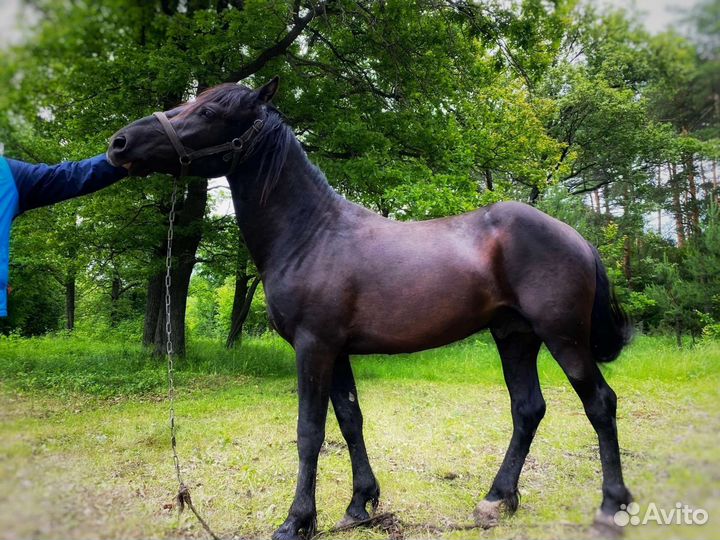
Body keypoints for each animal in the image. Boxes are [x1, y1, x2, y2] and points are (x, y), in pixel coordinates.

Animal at [108, 77, 634, 539]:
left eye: (211, 111)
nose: (120, 143)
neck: (310, 234)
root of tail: (576, 237)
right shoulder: (336, 350)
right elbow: (349, 420)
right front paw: (360, 503)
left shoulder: (314, 347)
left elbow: (310, 431)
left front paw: (297, 521)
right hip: (514, 336)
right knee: (527, 409)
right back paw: (496, 499)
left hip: (563, 337)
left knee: (599, 403)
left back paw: (612, 506)